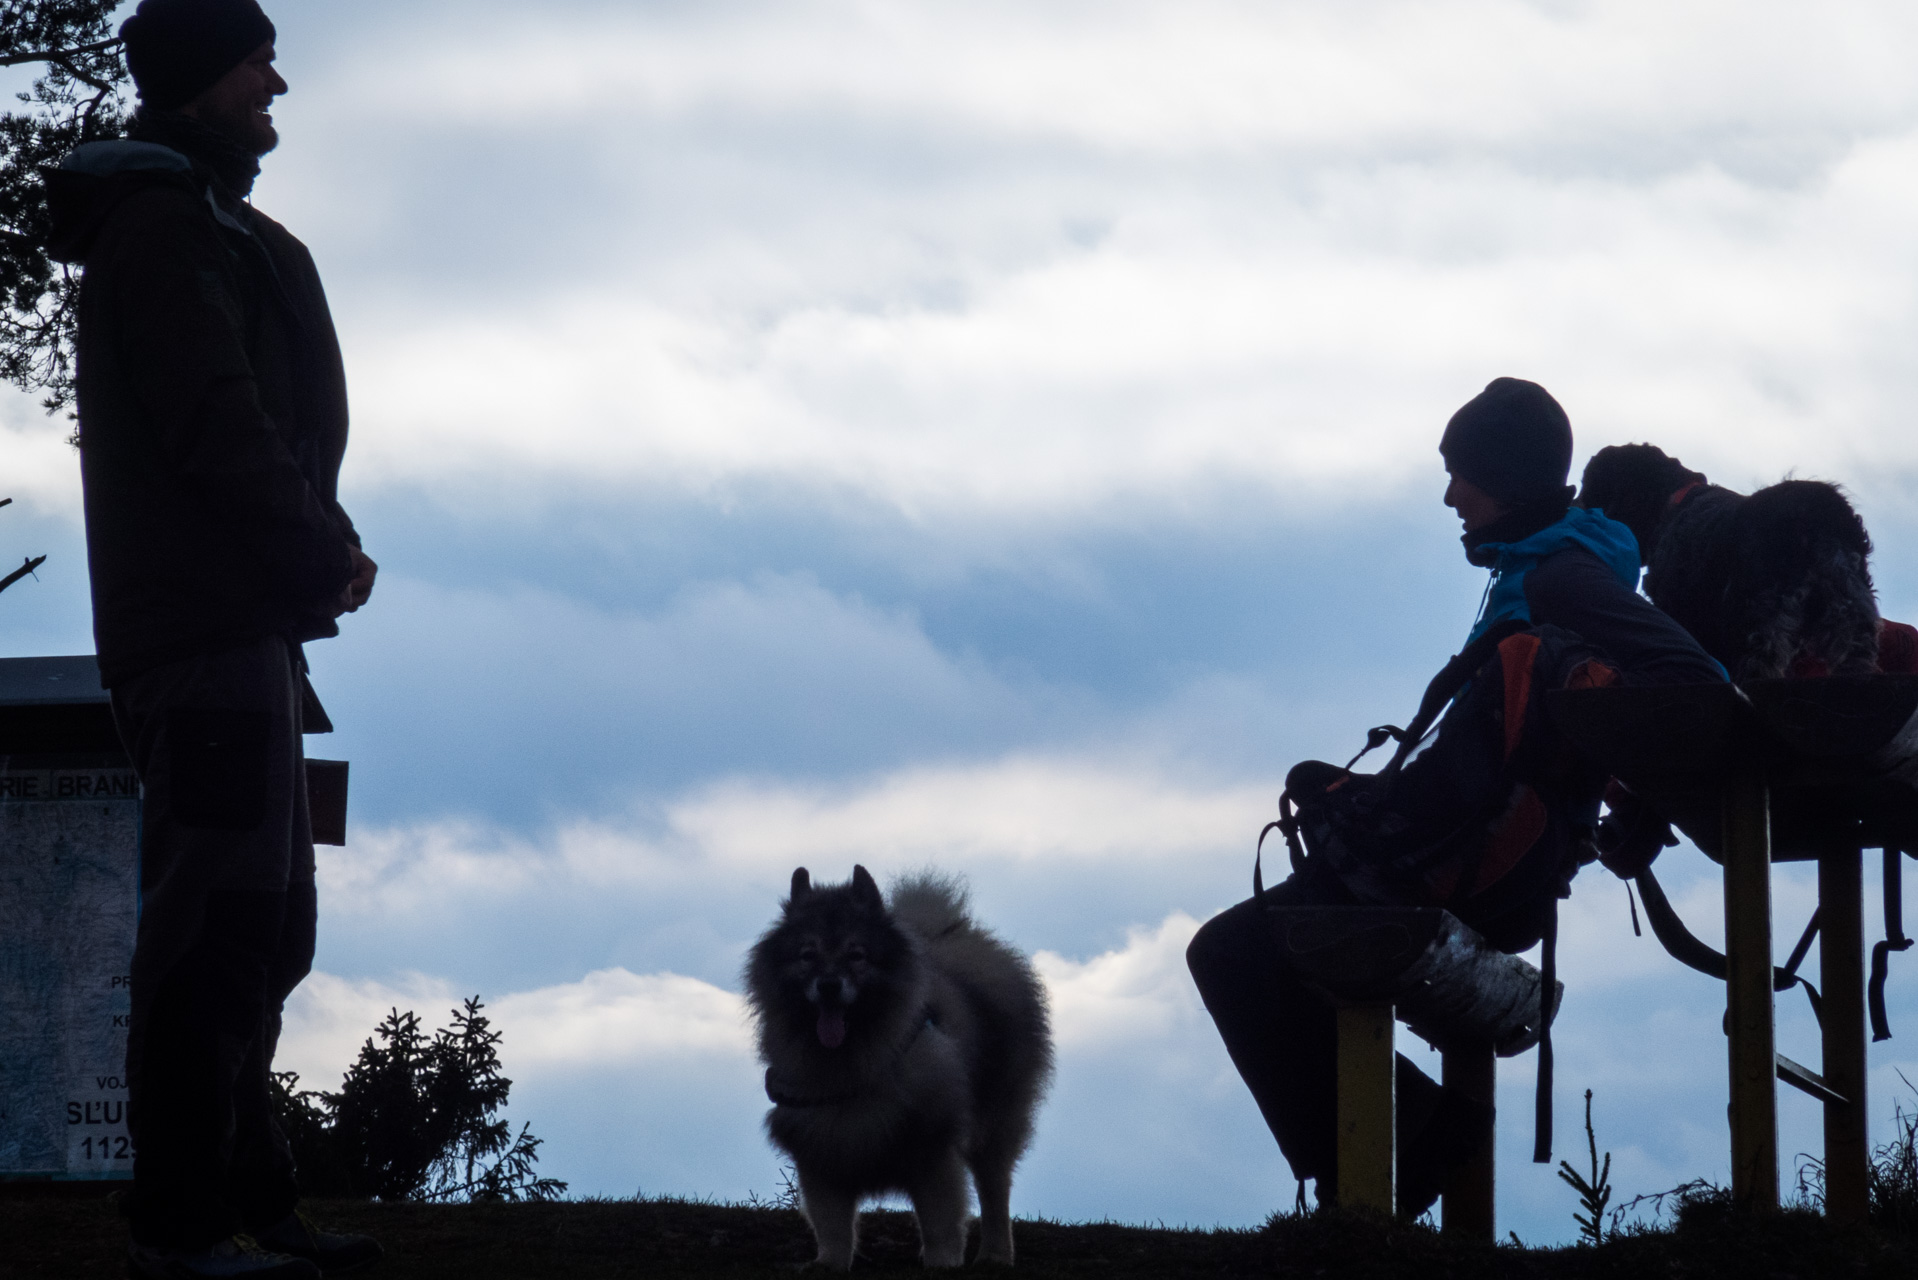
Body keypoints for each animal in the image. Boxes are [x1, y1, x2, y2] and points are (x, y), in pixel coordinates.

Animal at [744, 871, 1051, 1274]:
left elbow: (940, 1223)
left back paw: (995, 1255)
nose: (829, 985)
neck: (854, 1064)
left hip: (996, 1124)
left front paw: (942, 1263)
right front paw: (829, 1264)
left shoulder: (933, 1150)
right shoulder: (820, 1152)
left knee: (994, 1191)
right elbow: (832, 1226)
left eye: (856, 955)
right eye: (807, 956)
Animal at [1580, 441, 1879, 679]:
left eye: (1591, 483)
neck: (1675, 501)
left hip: (1757, 626)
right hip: (1852, 621)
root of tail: (1819, 516)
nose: (1575, 503)